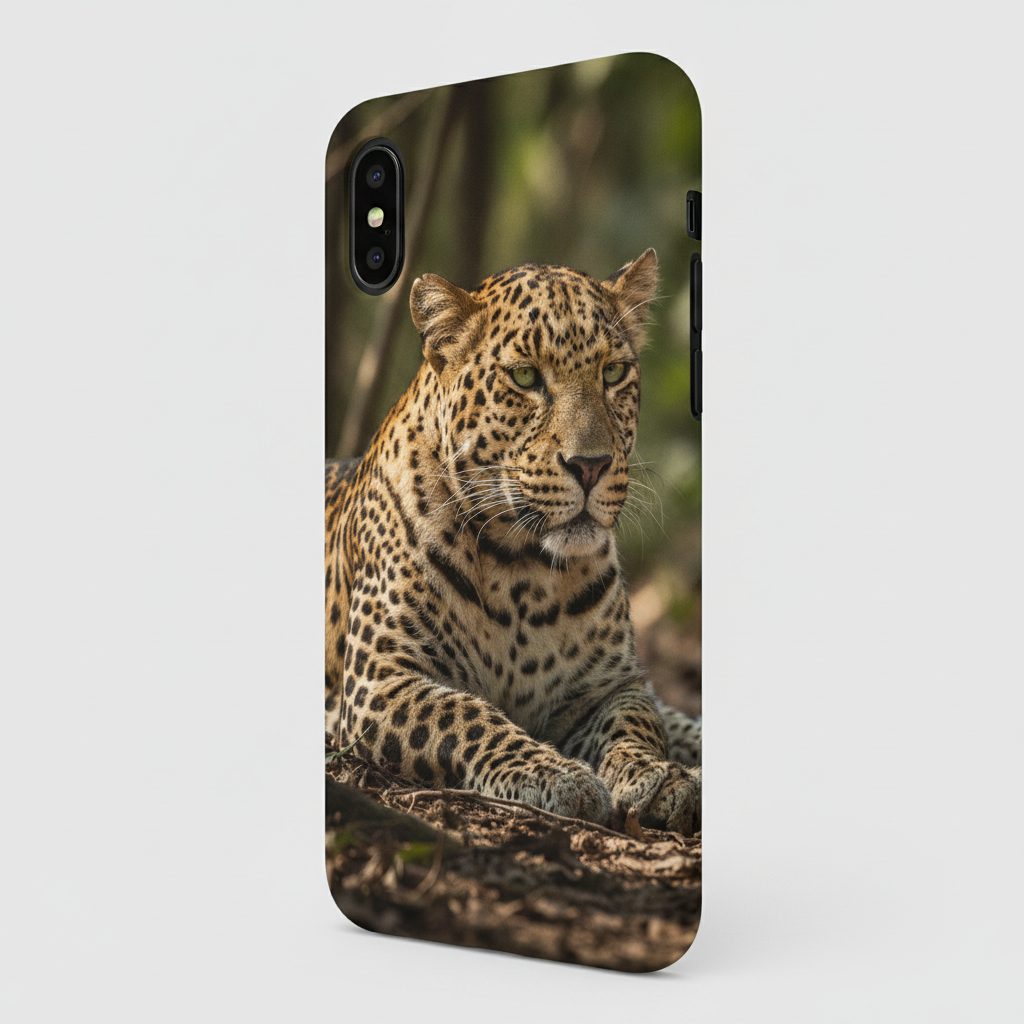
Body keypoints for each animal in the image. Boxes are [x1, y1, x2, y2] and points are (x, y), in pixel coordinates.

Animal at [325, 249, 702, 832]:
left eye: (613, 372)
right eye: (525, 377)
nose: (591, 465)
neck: (522, 569)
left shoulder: (610, 687)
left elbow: (638, 722)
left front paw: (654, 775)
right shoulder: (380, 681)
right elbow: (465, 714)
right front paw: (555, 774)